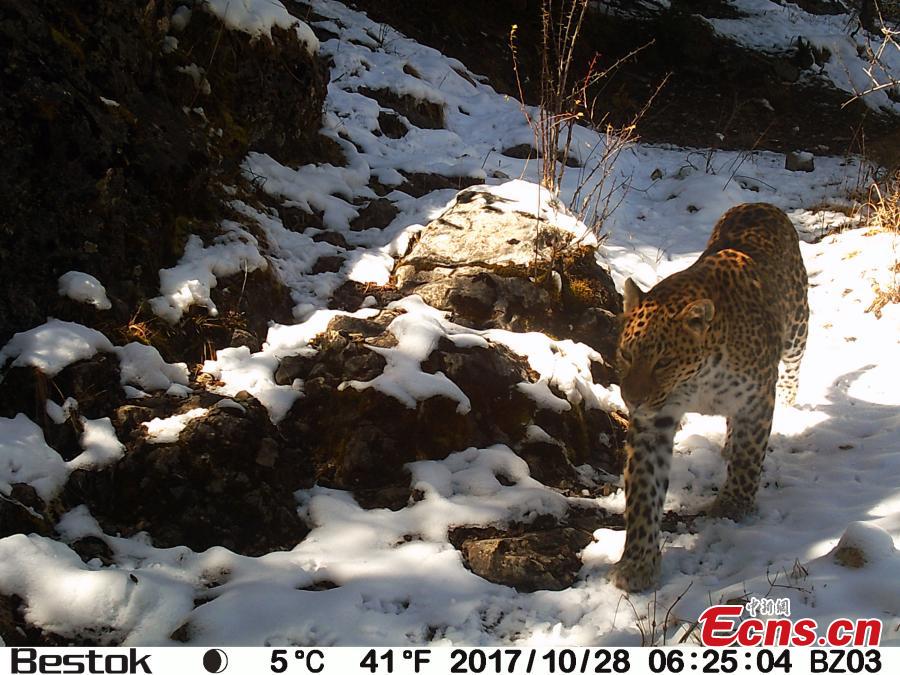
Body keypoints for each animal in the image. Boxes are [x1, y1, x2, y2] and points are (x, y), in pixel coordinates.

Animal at [610, 202, 809, 592]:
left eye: (663, 362)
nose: (633, 401)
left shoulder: (756, 399)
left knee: (793, 364)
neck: (698, 382)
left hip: (797, 327)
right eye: (626, 354)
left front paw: (733, 505)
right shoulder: (653, 422)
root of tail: (760, 204)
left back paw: (790, 401)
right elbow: (644, 491)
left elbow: (749, 457)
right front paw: (638, 562)